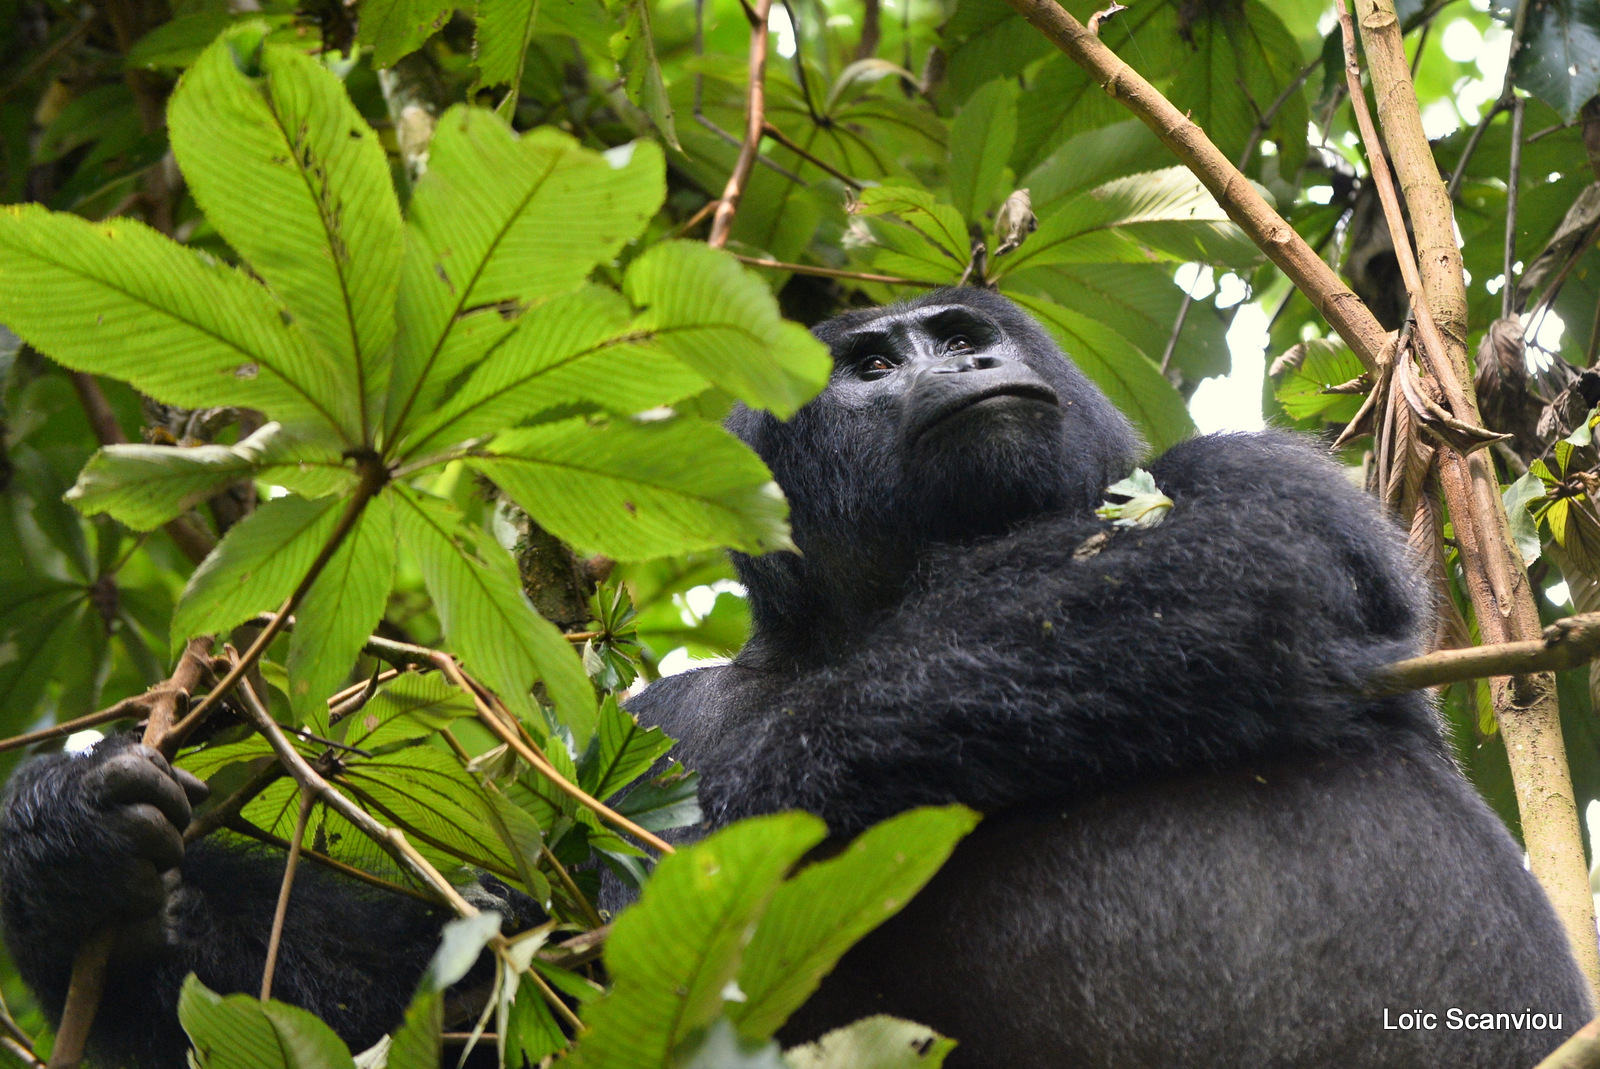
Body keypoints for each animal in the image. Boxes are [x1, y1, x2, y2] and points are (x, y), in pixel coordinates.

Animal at [6, 288, 1593, 1069]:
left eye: (961, 336)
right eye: (870, 366)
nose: (955, 365)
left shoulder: (1255, 473)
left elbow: (1245, 561)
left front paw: (708, 847)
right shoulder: (648, 719)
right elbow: (443, 987)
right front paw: (72, 870)